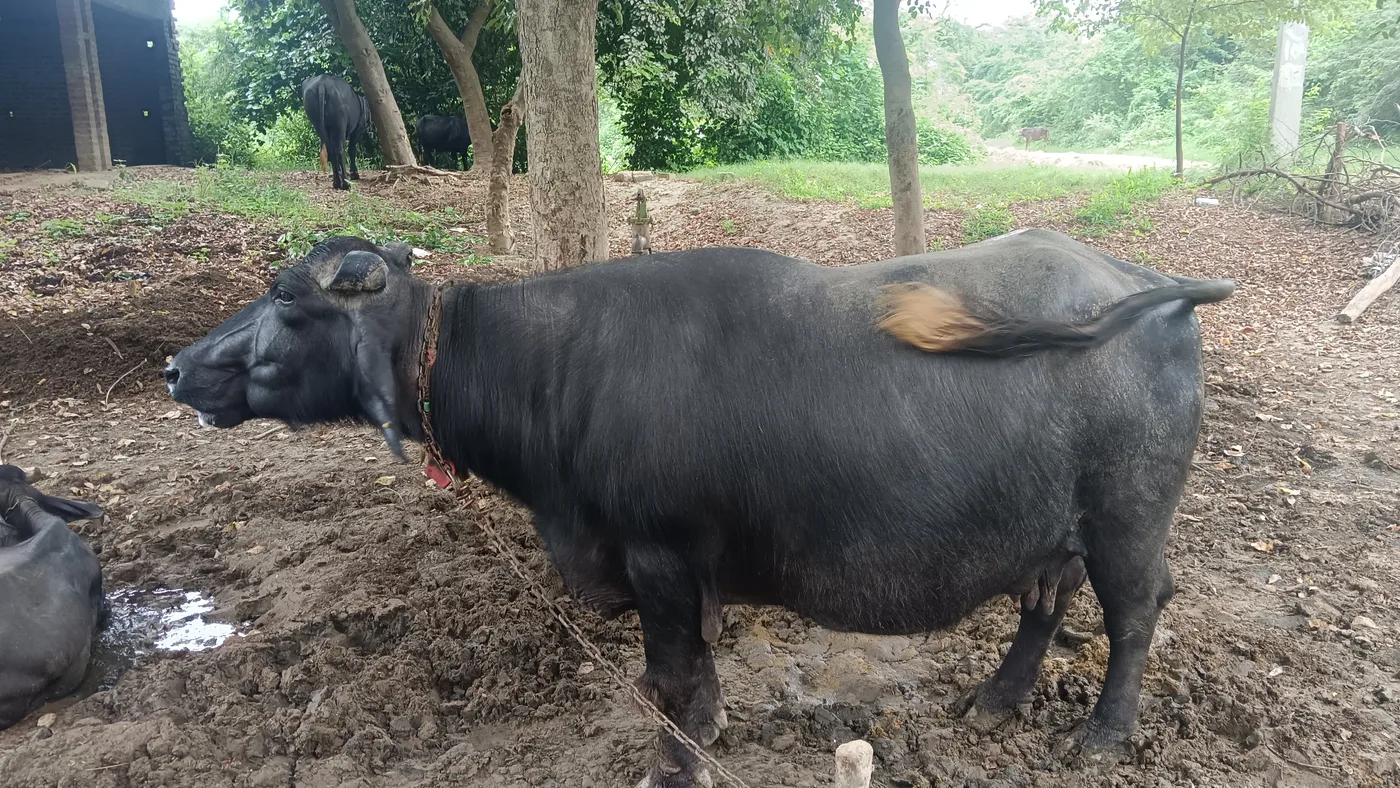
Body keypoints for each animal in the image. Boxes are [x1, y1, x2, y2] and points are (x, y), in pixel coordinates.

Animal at [166, 230, 1232, 786]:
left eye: (286, 301)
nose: (176, 367)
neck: (554, 374)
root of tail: (1146, 282)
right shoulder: (681, 570)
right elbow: (693, 669)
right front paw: (712, 729)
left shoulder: (662, 556)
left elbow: (671, 678)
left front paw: (673, 764)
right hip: (1056, 532)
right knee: (1044, 604)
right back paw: (997, 699)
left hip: (1129, 522)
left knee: (1138, 614)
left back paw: (1103, 733)